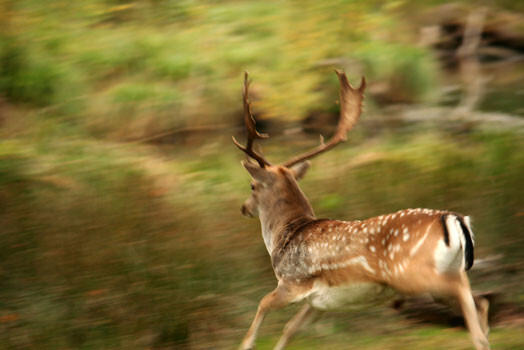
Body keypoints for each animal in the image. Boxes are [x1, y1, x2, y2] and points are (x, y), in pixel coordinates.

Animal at [233, 69, 492, 348]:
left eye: (252, 186)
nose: (244, 208)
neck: (285, 233)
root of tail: (454, 219)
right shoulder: (319, 302)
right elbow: (290, 328)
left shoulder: (294, 281)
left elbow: (262, 304)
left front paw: (246, 344)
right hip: (453, 271)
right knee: (480, 302)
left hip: (415, 274)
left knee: (469, 303)